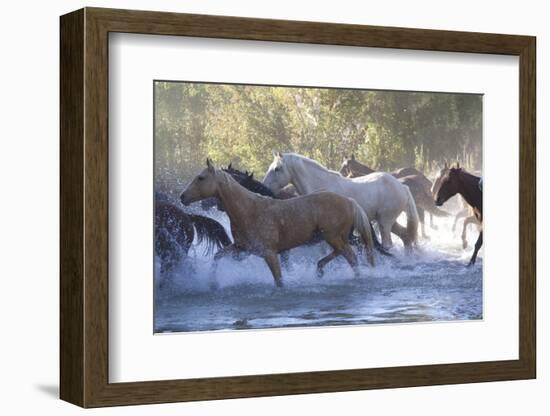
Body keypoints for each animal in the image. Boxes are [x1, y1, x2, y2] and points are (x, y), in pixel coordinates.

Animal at [182, 161, 380, 288]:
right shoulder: (242, 249)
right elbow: (217, 256)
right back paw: (320, 269)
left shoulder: (271, 254)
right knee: (345, 254)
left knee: (350, 256)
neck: (249, 209)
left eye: (201, 178)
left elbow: (279, 280)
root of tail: (349, 201)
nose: (182, 197)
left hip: (333, 237)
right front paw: (212, 283)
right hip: (335, 238)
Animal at [266, 153, 420, 250]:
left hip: (385, 222)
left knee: (388, 244)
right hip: (388, 221)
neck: (321, 185)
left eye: (277, 169)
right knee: (406, 237)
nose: (265, 187)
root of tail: (402, 187)